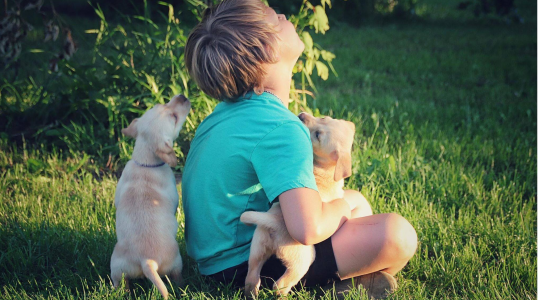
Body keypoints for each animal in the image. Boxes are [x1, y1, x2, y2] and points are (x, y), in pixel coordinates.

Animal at [109, 94, 191, 298]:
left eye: (161, 103)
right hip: (175, 262)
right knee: (176, 275)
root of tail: (147, 261)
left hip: (117, 267)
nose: (182, 96)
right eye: (174, 118)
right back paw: (183, 286)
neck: (145, 162)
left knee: (121, 283)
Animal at [241, 111, 354, 296]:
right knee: (279, 286)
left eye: (318, 136)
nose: (301, 115)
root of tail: (276, 223)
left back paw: (252, 293)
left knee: (252, 277)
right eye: (324, 118)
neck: (327, 168)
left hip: (257, 247)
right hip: (302, 261)